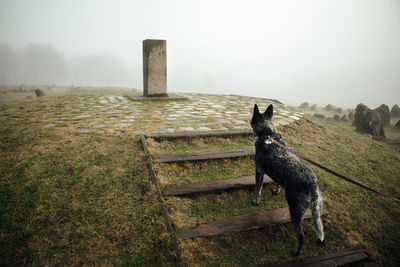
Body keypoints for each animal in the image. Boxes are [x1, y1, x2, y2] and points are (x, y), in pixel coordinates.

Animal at [252, 103, 324, 256]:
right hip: (317, 211)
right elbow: (278, 183)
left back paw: (296, 251)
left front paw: (255, 201)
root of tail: (313, 184)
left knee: (301, 236)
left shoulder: (259, 171)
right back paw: (320, 241)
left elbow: (258, 190)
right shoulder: (278, 176)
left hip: (295, 212)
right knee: (319, 227)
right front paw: (276, 191)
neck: (268, 134)